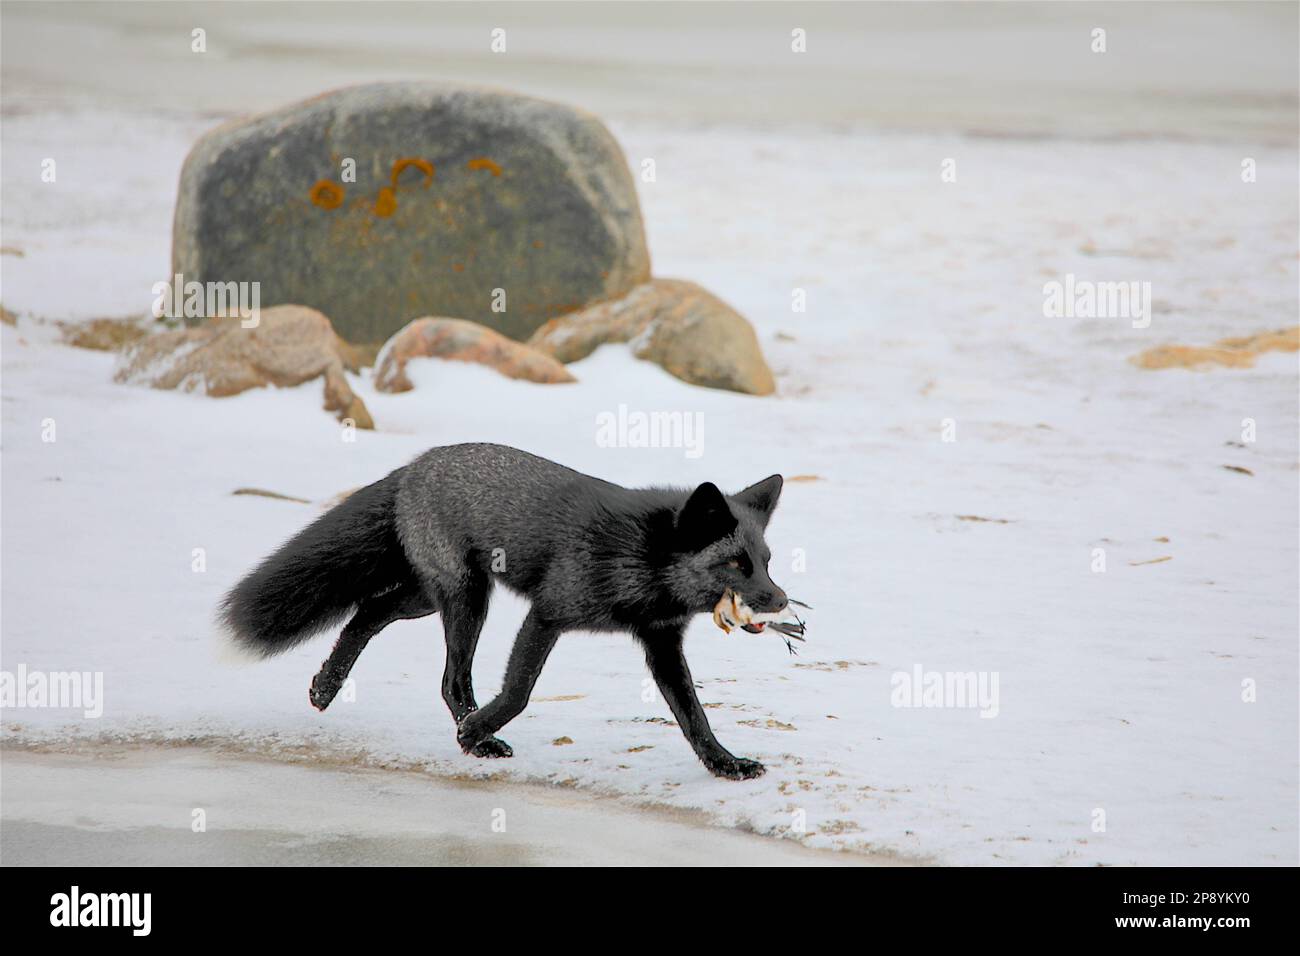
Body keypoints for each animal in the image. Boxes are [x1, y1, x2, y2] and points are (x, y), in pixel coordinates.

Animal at [223, 444, 785, 780]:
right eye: (736, 565)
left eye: (765, 562)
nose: (780, 600)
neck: (642, 557)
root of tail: (417, 462)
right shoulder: (548, 613)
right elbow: (518, 693)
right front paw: (473, 734)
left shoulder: (661, 641)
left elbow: (694, 717)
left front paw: (725, 765)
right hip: (465, 597)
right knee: (449, 679)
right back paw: (476, 738)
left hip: (426, 598)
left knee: (369, 611)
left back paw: (326, 686)